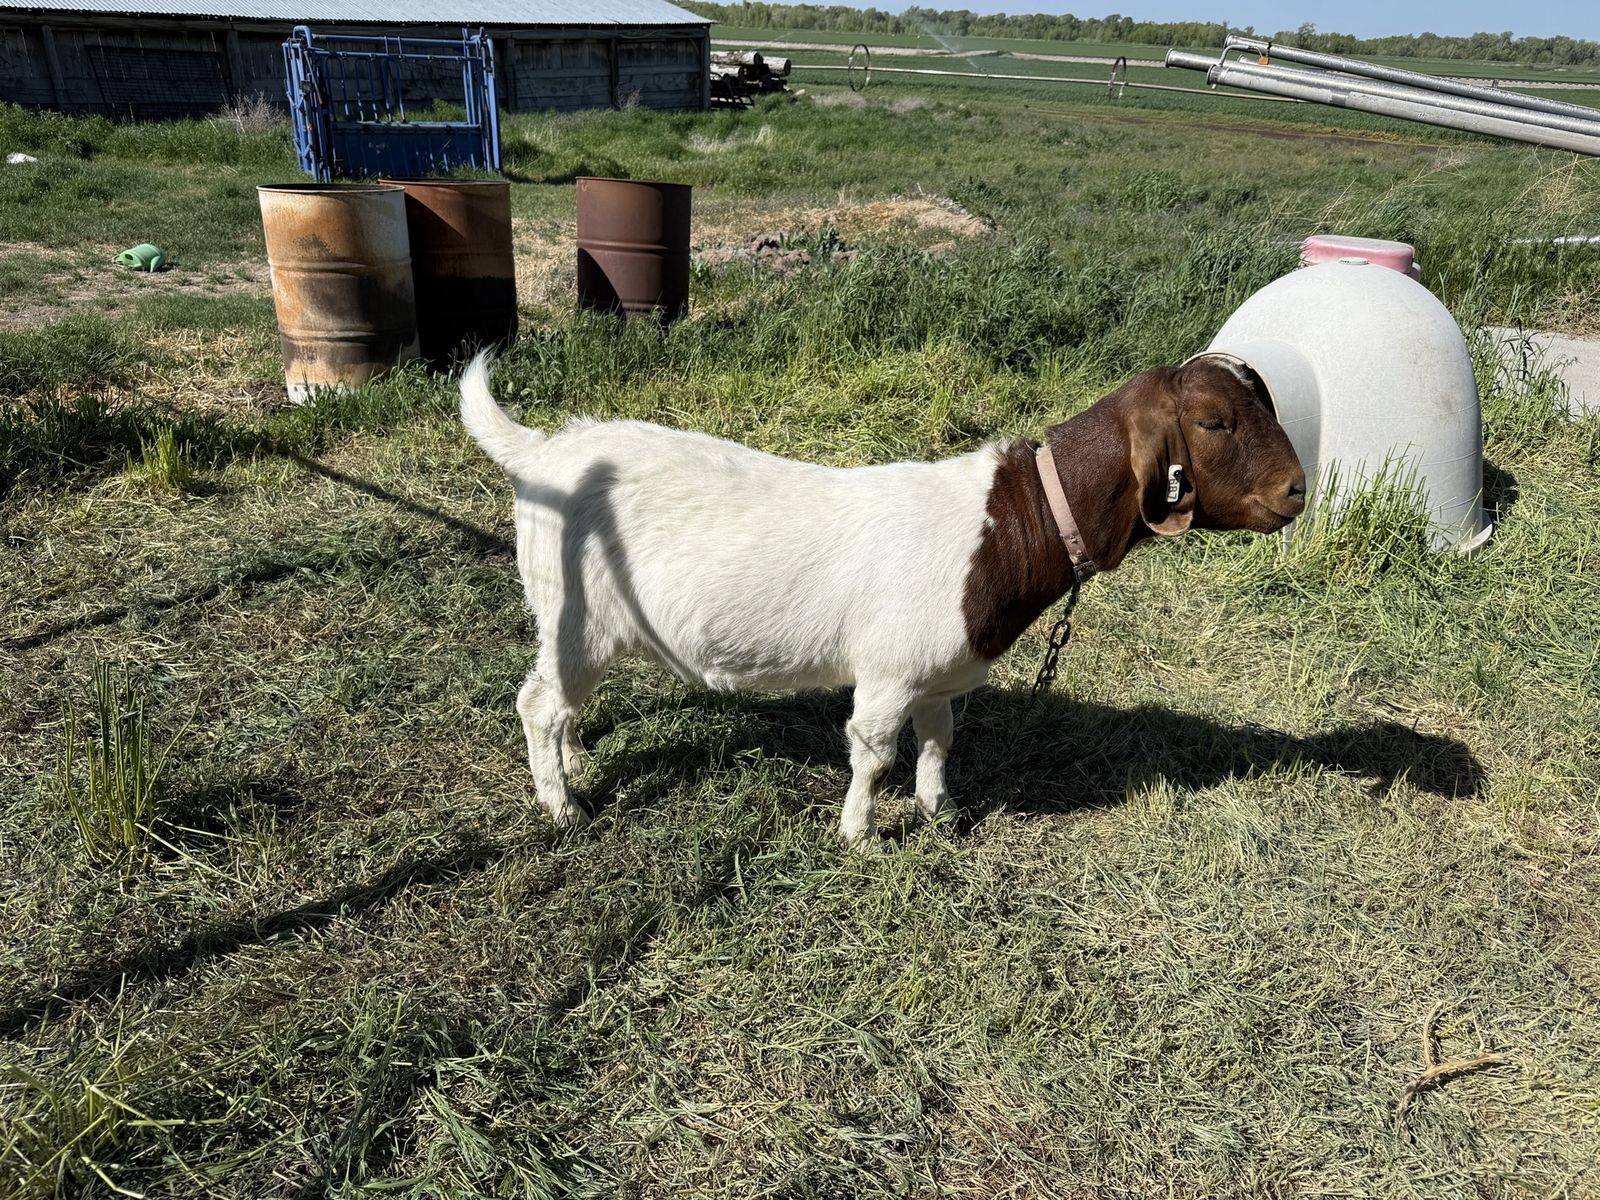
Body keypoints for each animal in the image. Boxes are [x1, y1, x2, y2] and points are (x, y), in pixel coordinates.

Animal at [460, 353, 1305, 845]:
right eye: (1214, 421)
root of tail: (544, 451)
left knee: (558, 702)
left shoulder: (936, 673)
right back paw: (562, 806)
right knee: (537, 702)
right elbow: (872, 752)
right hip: (574, 613)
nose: (1297, 490)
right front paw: (860, 835)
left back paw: (575, 759)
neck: (1011, 521)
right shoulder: (889, 672)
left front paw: (941, 811)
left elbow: (938, 739)